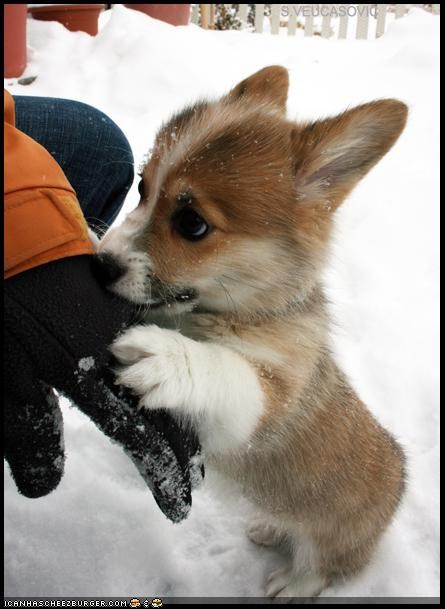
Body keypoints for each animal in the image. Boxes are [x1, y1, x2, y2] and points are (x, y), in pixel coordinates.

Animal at [96, 66, 407, 598]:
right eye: (141, 187)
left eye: (192, 223)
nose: (99, 264)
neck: (238, 312)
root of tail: (400, 474)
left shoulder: (264, 405)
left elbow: (226, 371)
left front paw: (167, 359)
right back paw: (269, 527)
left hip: (332, 539)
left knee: (324, 566)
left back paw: (293, 584)